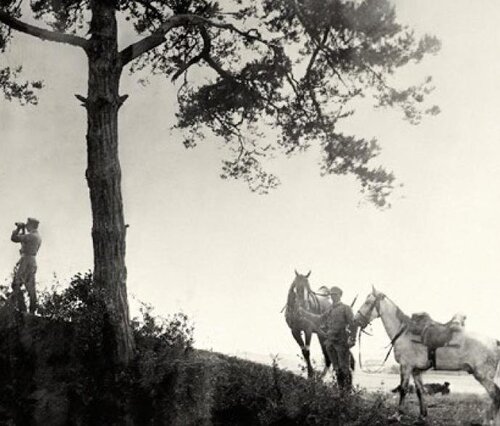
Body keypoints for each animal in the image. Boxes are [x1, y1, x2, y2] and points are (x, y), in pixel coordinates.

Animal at [354, 287, 500, 425]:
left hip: (483, 376)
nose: (356, 320)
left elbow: (403, 389)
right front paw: (422, 417)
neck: (403, 332)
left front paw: (397, 415)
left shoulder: (405, 366)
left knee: (495, 395)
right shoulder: (416, 370)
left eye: (368, 302)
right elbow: (420, 391)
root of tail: (495, 341)